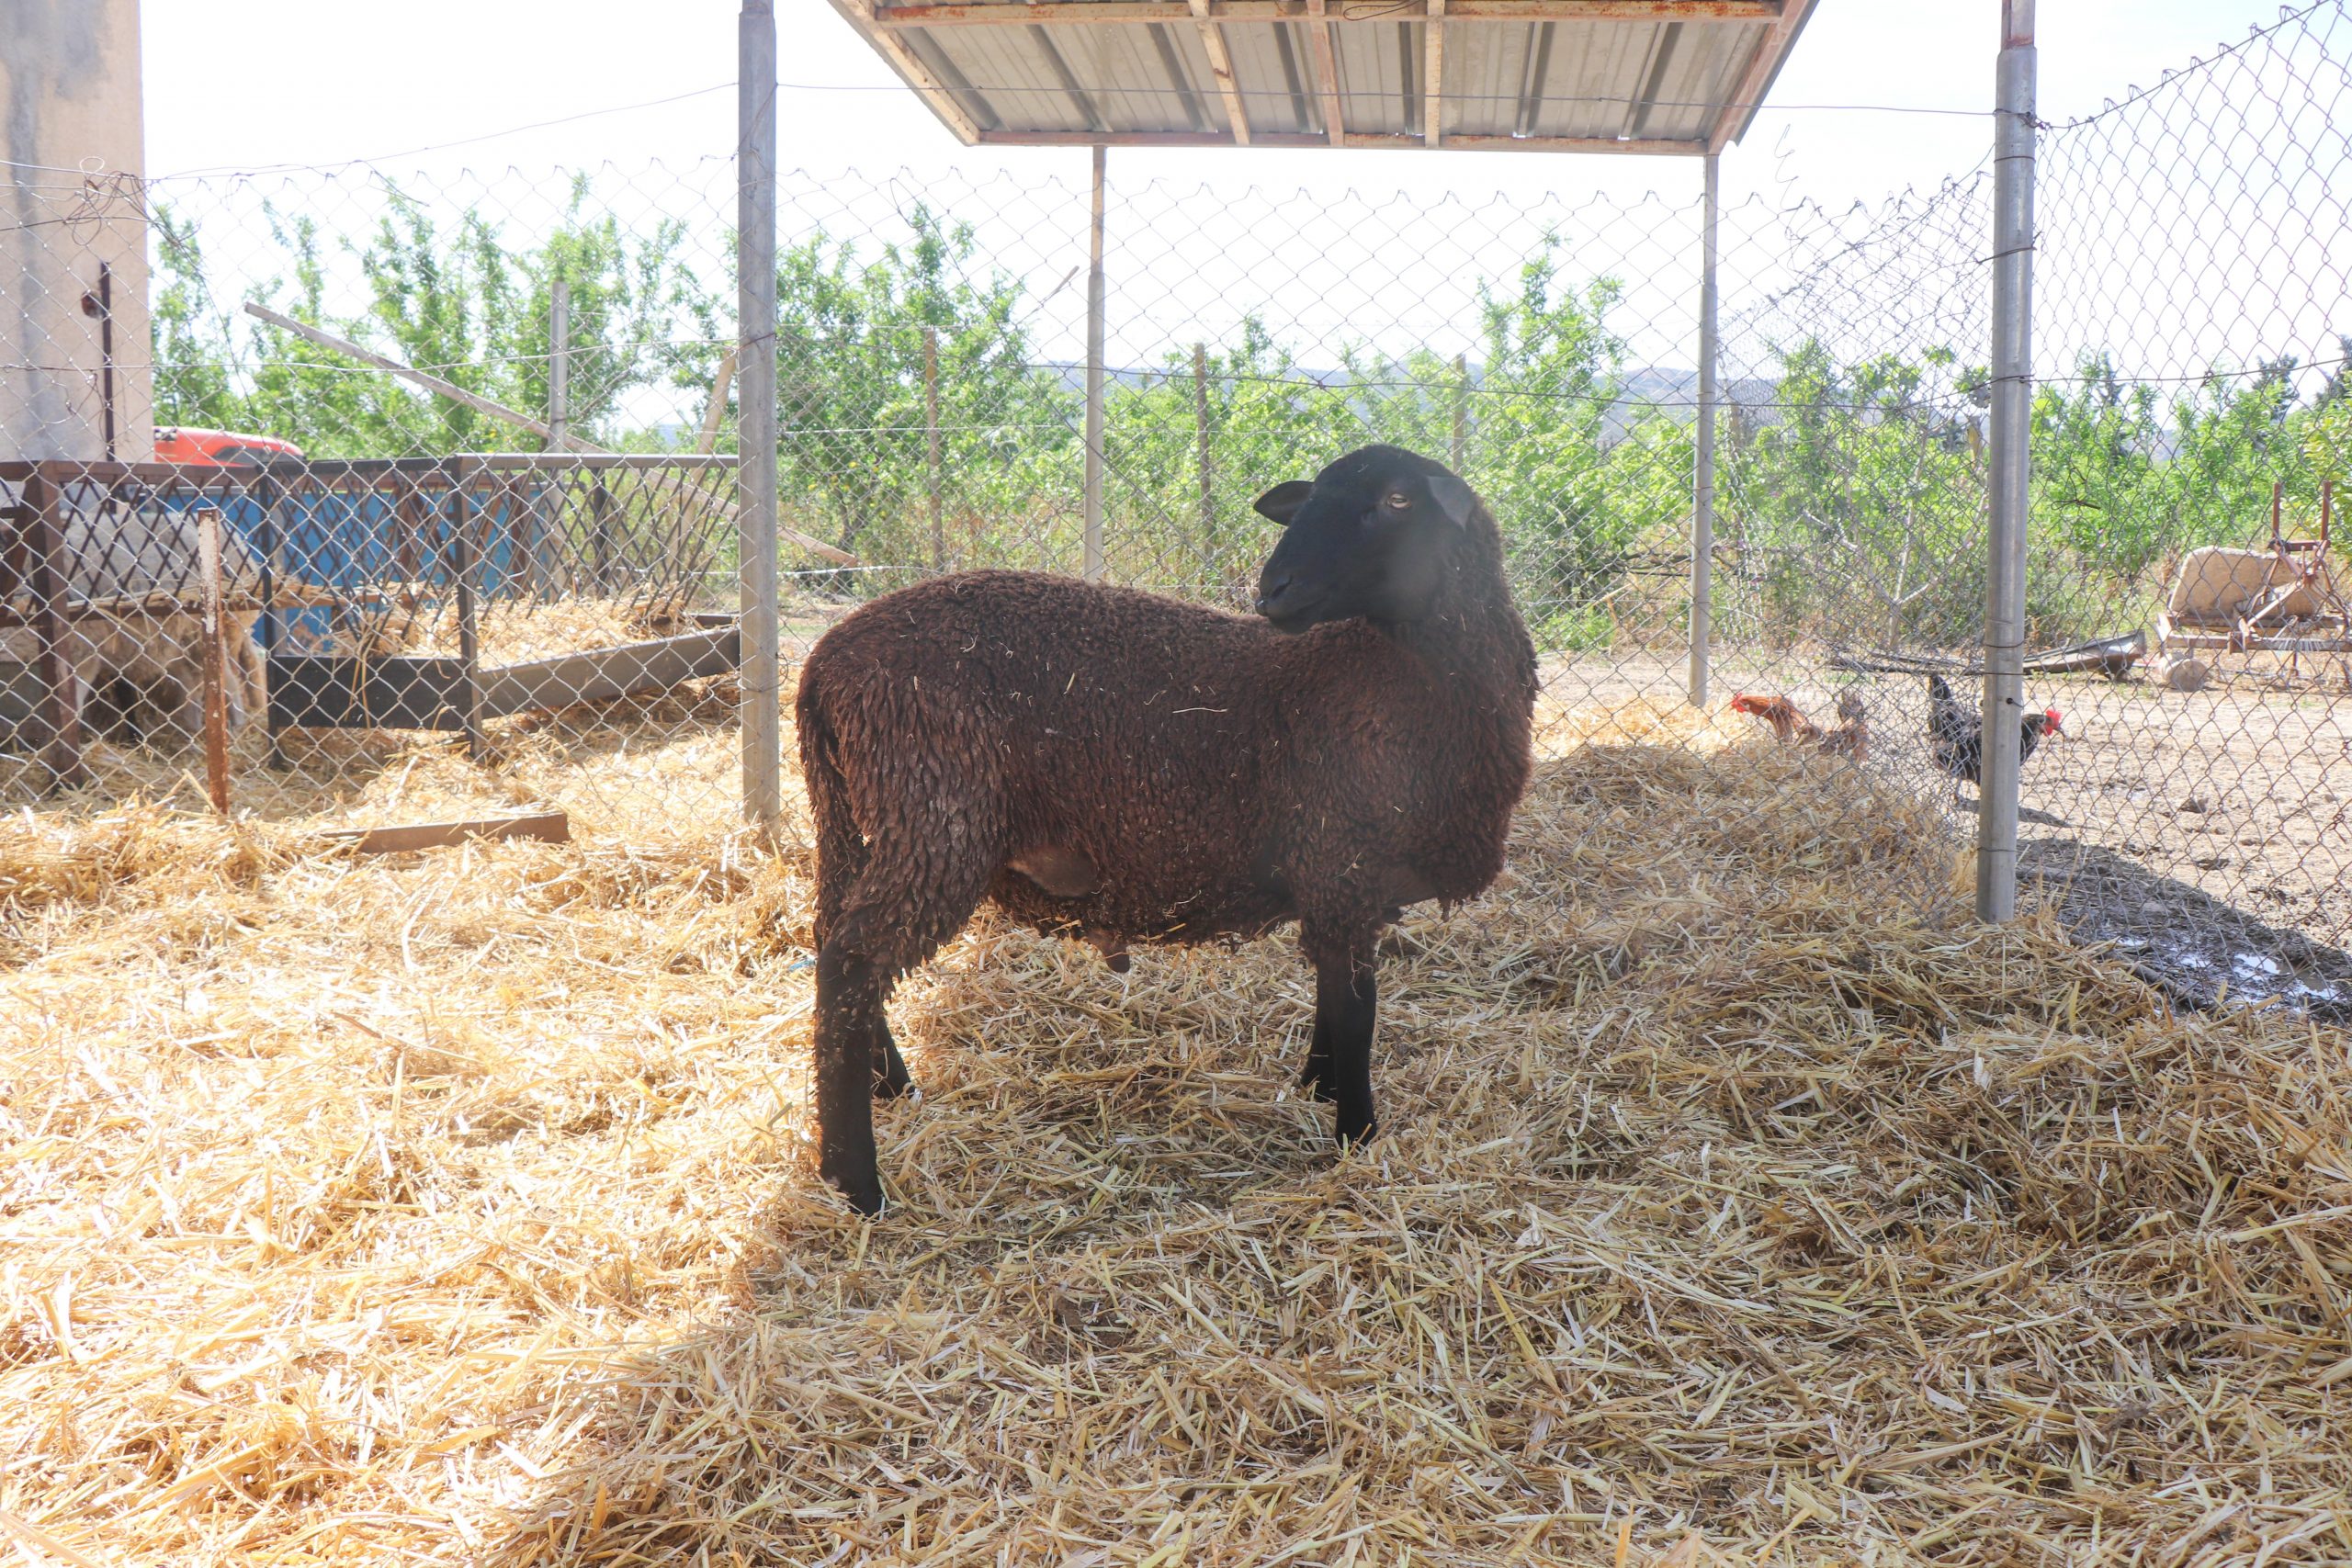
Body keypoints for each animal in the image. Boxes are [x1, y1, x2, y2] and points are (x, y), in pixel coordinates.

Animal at [795, 444, 1538, 1214]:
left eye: (1397, 500)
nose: (1273, 590)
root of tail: (823, 664)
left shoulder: (1336, 879)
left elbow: (1333, 999)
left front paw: (1317, 1087)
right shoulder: (1342, 862)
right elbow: (1356, 1012)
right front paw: (1357, 1135)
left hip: (851, 817)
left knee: (830, 942)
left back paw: (892, 1086)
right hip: (934, 815)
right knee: (853, 962)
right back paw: (856, 1179)